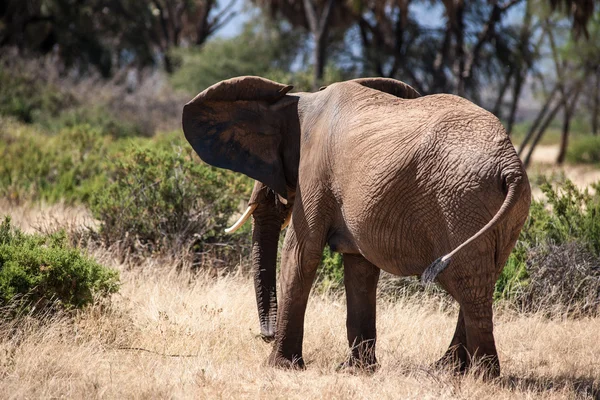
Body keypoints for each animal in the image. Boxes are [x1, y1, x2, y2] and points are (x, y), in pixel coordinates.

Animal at [182, 75, 528, 378]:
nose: (264, 334)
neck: (297, 101)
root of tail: (509, 166)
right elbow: (360, 267)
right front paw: (356, 371)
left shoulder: (315, 172)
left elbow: (300, 255)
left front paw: (279, 367)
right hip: (501, 212)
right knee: (481, 281)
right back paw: (448, 370)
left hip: (459, 203)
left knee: (468, 285)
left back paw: (481, 377)